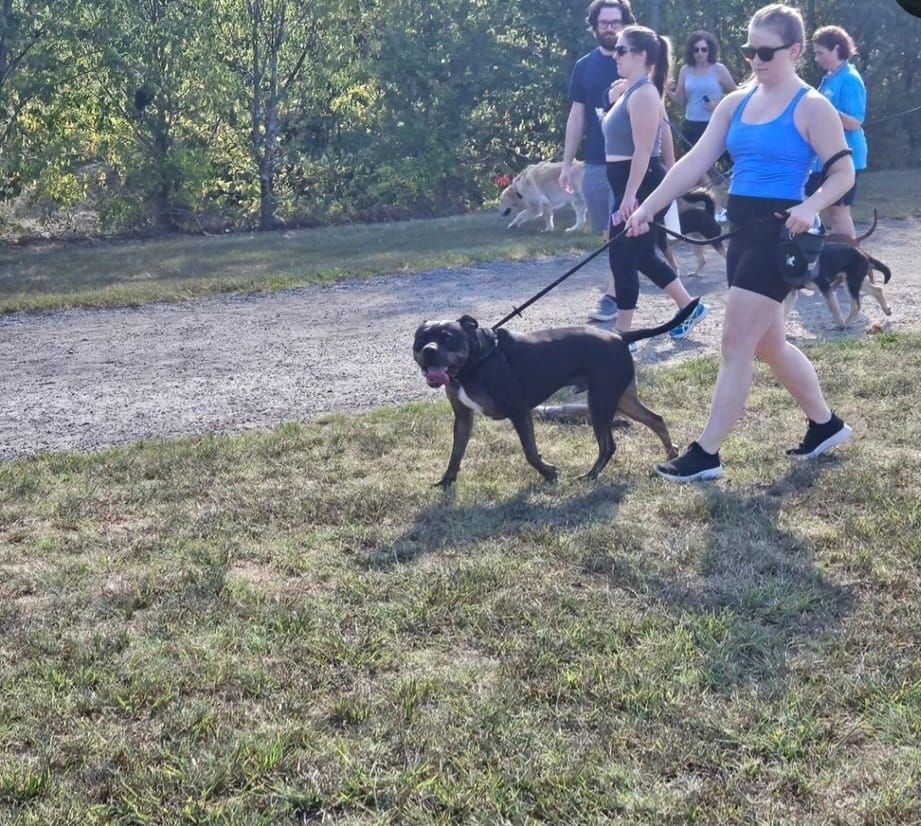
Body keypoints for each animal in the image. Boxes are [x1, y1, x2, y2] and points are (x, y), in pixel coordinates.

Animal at [410, 300, 696, 482]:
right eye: (420, 339)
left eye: (447, 337)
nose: (428, 350)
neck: (476, 361)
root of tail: (619, 337)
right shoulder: (463, 417)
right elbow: (456, 452)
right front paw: (447, 481)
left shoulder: (519, 412)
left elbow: (530, 452)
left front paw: (548, 473)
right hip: (622, 399)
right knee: (655, 419)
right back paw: (671, 453)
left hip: (600, 403)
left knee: (608, 446)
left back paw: (590, 476)